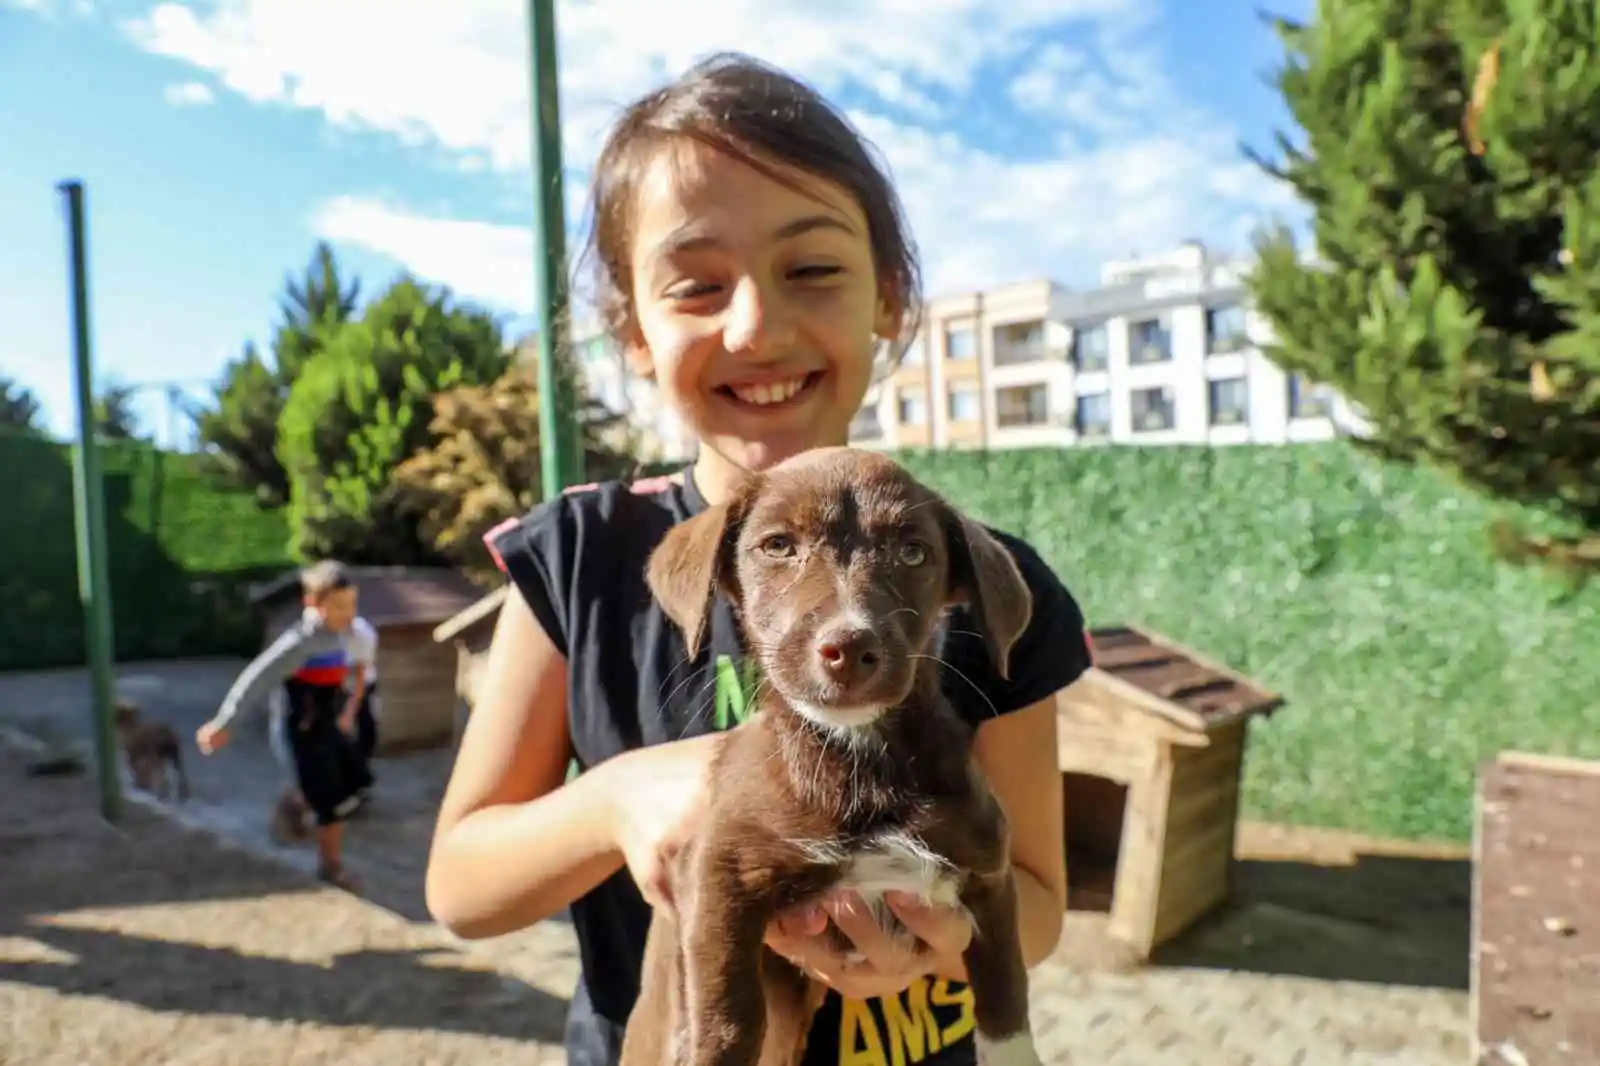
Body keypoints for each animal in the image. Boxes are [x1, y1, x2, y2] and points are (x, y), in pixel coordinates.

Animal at [617, 444, 1043, 1062]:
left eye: (913, 553)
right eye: (778, 546)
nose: (849, 646)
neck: (860, 757)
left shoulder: (990, 871)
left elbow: (1006, 992)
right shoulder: (714, 872)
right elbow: (727, 1014)